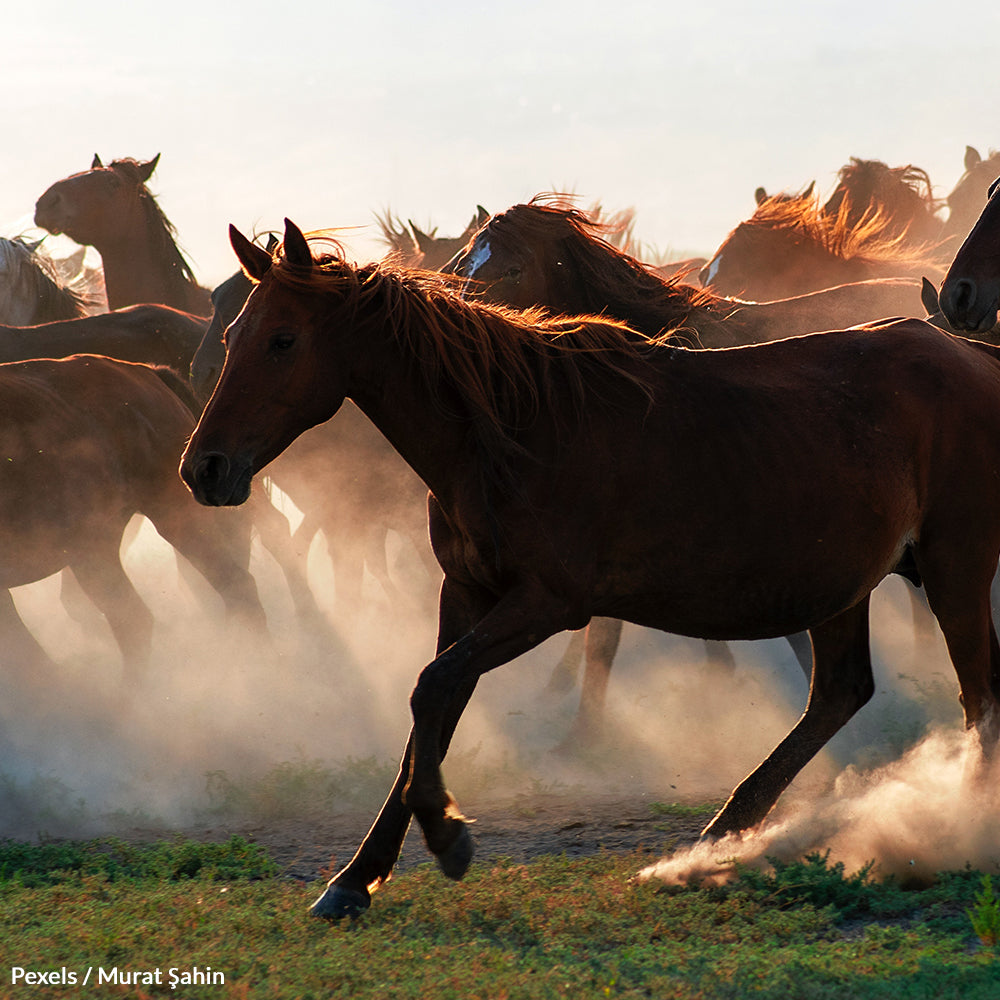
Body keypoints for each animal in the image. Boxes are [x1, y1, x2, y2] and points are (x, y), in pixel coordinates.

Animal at [182, 219, 1000, 919]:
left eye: (283, 340)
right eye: (236, 333)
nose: (204, 469)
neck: (510, 429)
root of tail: (971, 354)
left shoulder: (548, 603)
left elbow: (436, 688)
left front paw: (448, 837)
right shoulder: (466, 594)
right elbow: (432, 710)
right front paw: (357, 877)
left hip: (953, 566)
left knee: (974, 696)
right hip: (841, 584)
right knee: (840, 692)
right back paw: (717, 841)